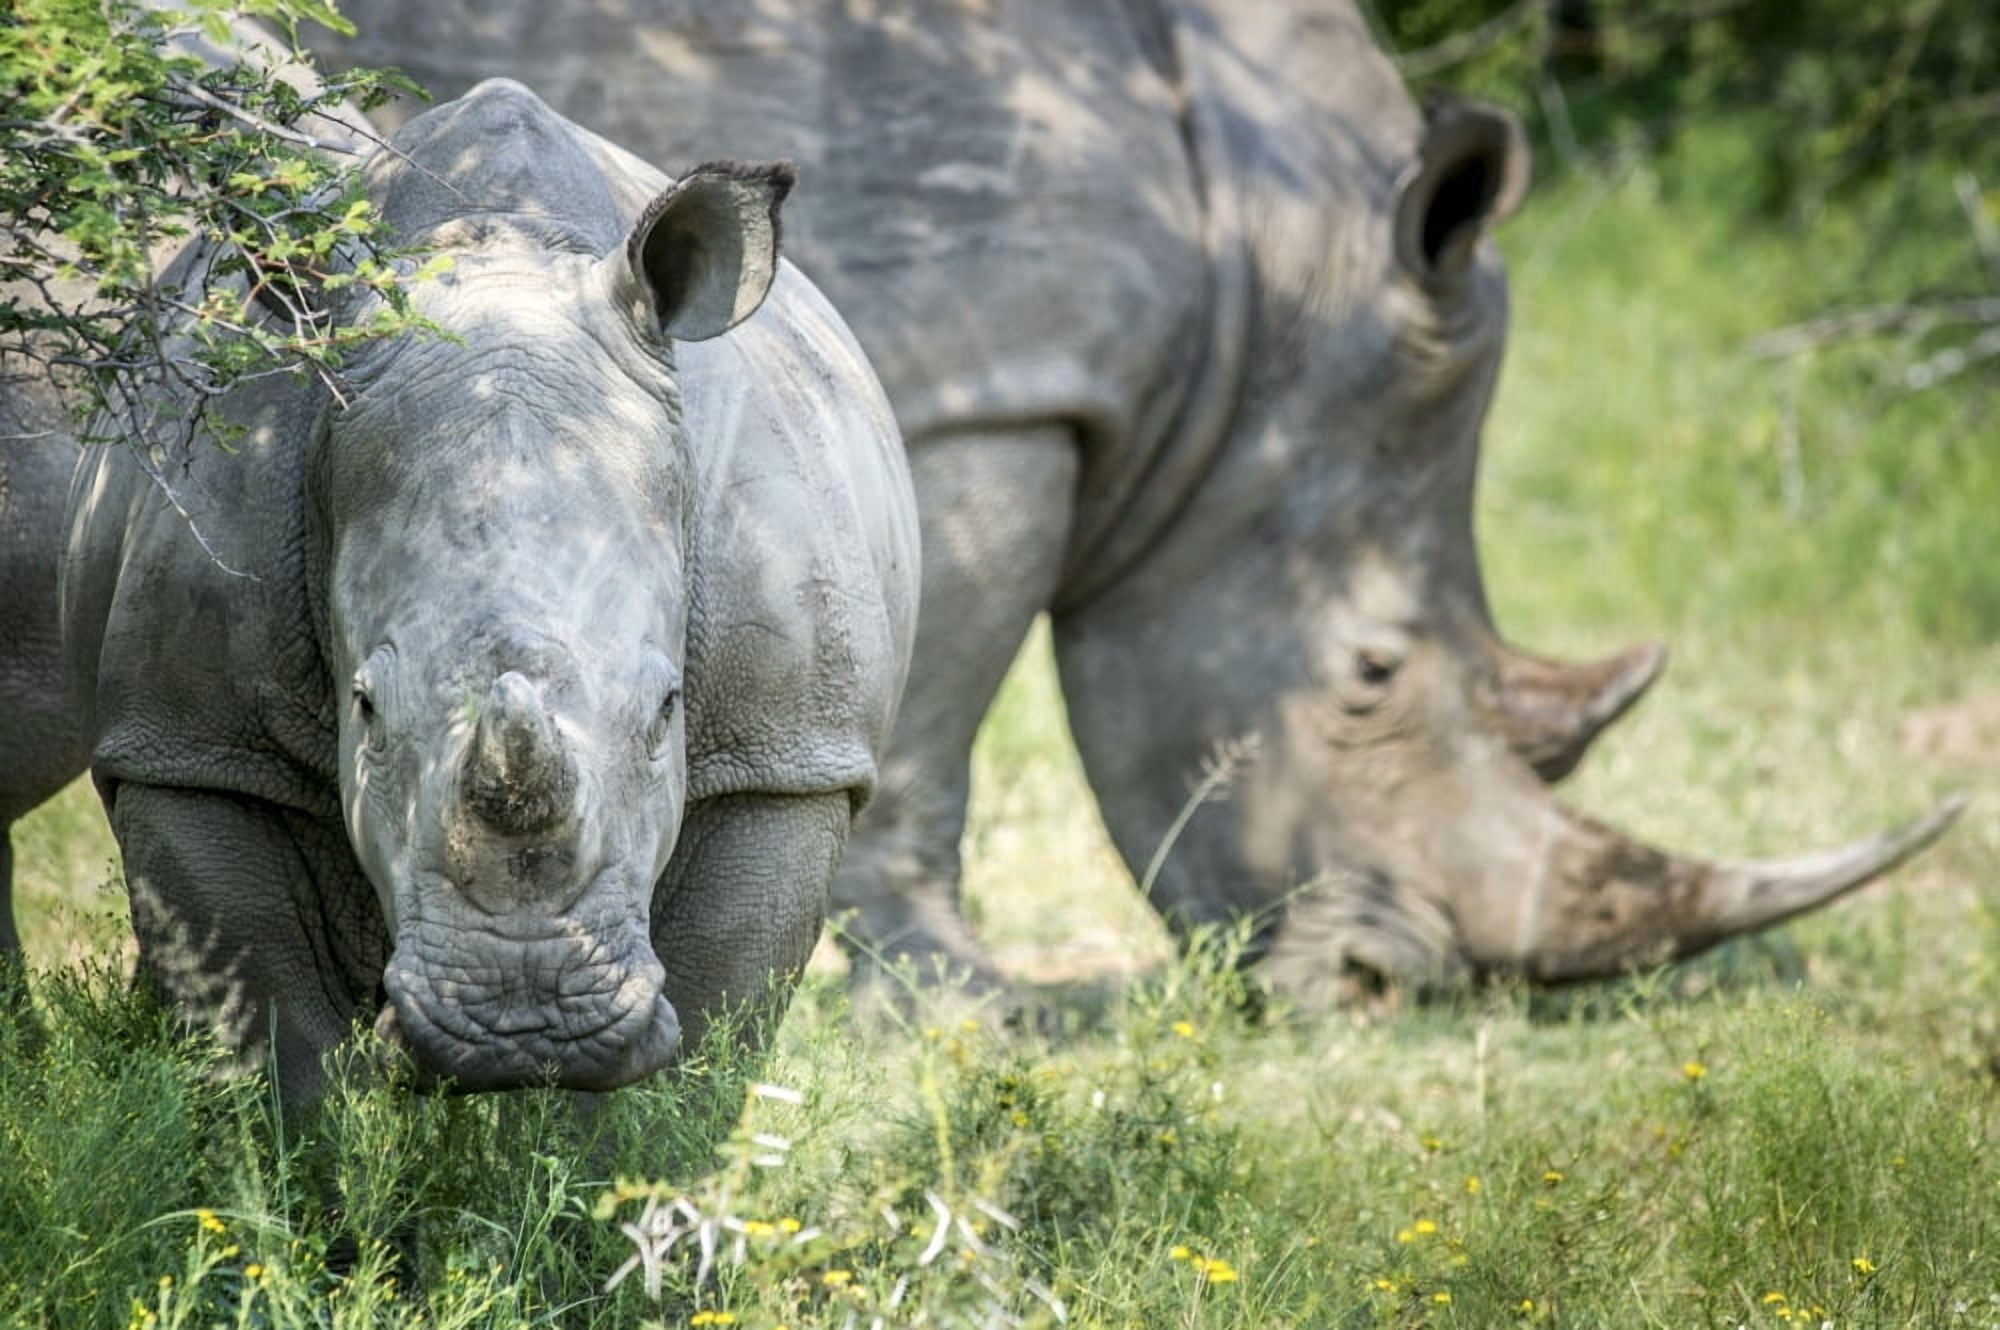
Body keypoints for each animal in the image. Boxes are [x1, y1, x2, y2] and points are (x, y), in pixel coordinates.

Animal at [0, 77, 919, 1101]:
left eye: (668, 709)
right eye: (365, 709)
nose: (526, 1028)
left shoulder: (786, 756)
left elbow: (696, 1047)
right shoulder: (193, 742)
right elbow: (268, 1035)